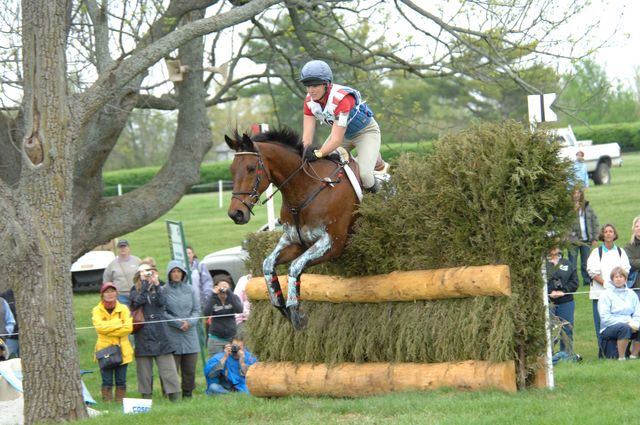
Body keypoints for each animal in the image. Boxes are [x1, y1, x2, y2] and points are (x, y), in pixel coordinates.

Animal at [224, 127, 360, 330]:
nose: (236, 214)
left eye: (251, 168)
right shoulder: (294, 241)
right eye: (232, 170)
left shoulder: (332, 244)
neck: (304, 189)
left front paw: (295, 312)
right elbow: (267, 265)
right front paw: (281, 306)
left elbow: (295, 267)